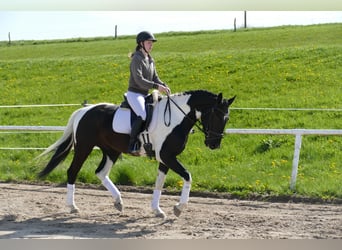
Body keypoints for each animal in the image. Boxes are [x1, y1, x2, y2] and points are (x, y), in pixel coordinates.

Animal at [38, 90, 235, 219]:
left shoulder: (165, 158)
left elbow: (159, 183)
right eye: (216, 115)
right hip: (84, 148)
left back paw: (118, 202)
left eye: (227, 118)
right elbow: (187, 176)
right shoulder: (168, 157)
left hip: (111, 151)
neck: (177, 119)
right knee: (72, 172)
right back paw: (72, 207)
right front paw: (179, 207)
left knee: (101, 173)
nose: (214, 144)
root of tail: (85, 111)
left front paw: (157, 210)